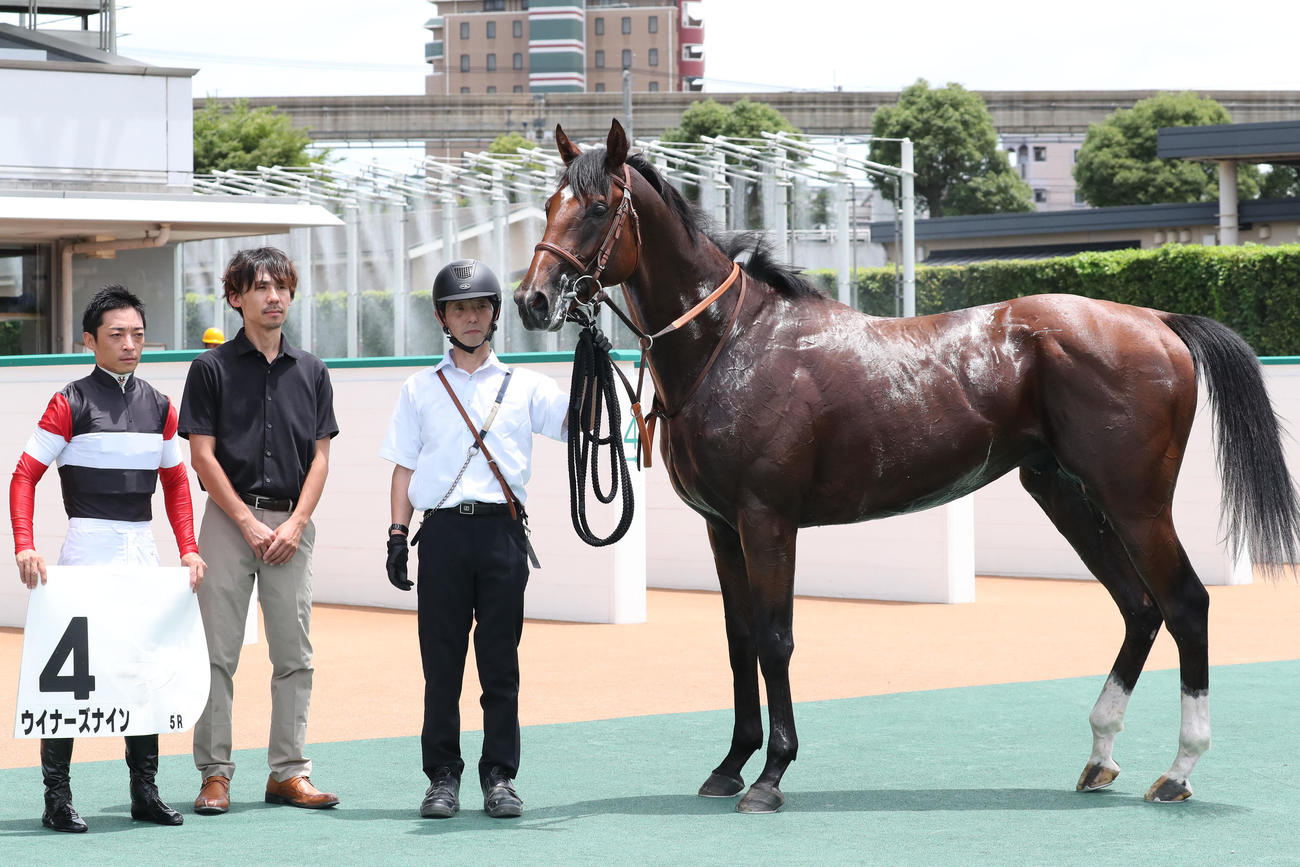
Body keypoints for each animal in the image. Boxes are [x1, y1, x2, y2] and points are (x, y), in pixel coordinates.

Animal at [514, 119, 1300, 813]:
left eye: (597, 207)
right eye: (549, 204)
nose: (532, 300)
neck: (733, 343)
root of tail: (1158, 320)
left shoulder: (767, 520)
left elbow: (774, 638)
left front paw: (771, 774)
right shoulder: (722, 526)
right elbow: (739, 643)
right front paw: (730, 765)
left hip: (1134, 501)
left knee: (1185, 604)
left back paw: (1178, 770)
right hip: (1066, 493)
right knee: (1138, 608)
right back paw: (1101, 756)